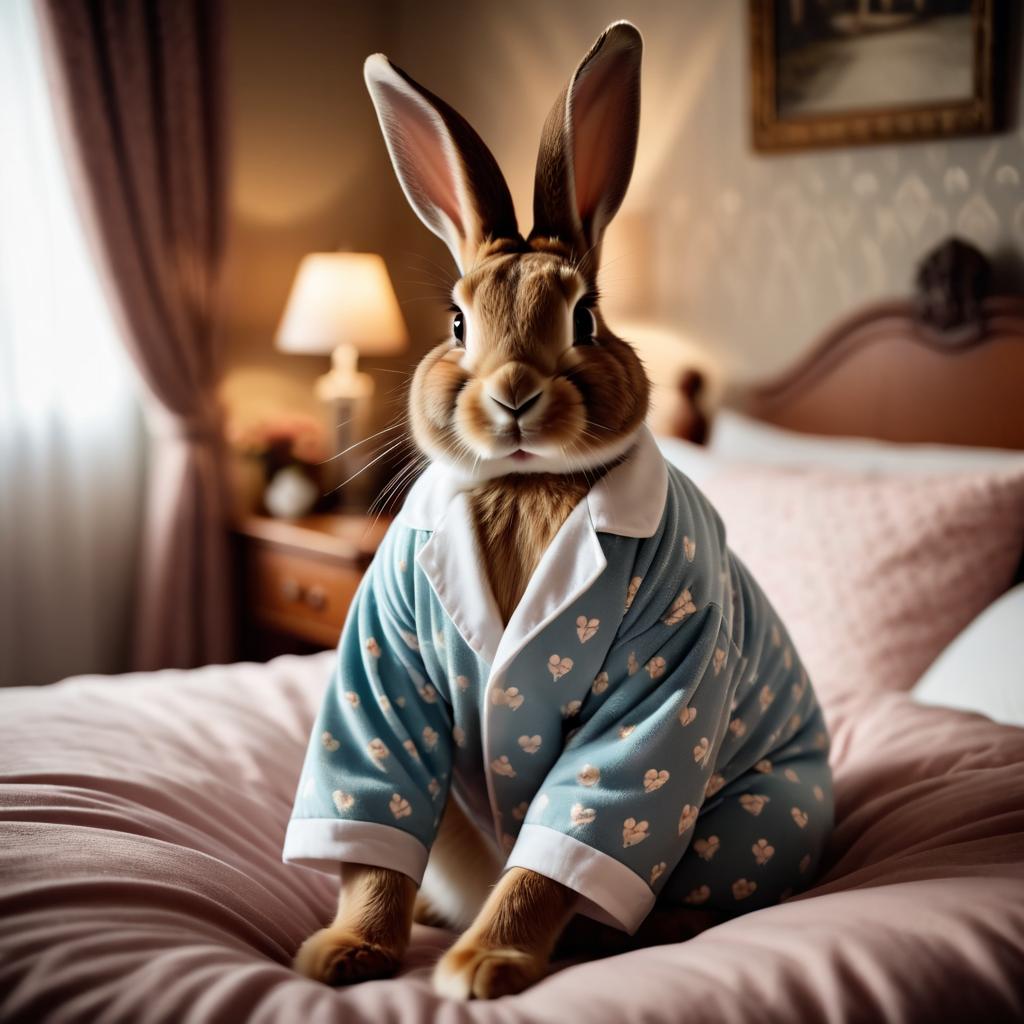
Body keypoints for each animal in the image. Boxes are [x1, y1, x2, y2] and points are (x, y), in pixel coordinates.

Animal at [288, 19, 831, 1003]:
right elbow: (374, 841)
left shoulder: (657, 699)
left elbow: (559, 851)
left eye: (584, 319)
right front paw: (344, 952)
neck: (526, 484)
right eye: (456, 323)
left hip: (758, 819)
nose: (512, 394)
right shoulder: (381, 679)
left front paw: (484, 967)